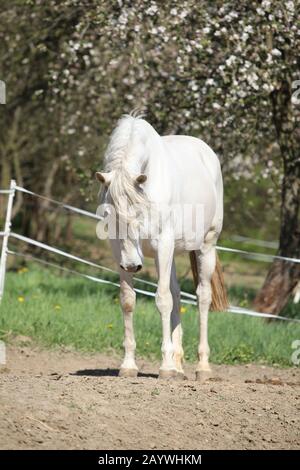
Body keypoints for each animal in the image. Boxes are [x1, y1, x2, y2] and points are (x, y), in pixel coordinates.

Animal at [96, 114, 227, 382]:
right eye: (109, 216)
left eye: (138, 212)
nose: (132, 265)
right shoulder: (119, 253)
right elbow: (128, 300)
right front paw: (128, 365)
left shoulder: (162, 247)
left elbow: (162, 300)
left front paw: (165, 367)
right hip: (172, 255)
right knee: (177, 294)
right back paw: (178, 367)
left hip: (206, 246)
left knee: (202, 297)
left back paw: (202, 368)